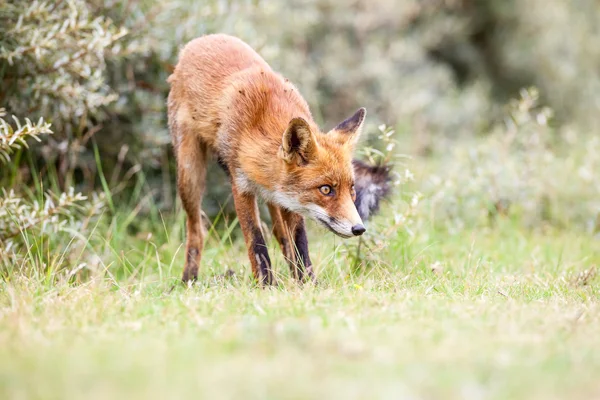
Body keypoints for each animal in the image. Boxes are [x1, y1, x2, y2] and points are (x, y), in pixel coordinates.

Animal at [165, 33, 390, 284]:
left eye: (351, 188)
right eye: (325, 189)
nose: (359, 229)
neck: (262, 121)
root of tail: (200, 40)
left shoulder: (291, 200)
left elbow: (299, 242)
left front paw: (308, 283)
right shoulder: (241, 187)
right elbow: (256, 242)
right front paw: (265, 284)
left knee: (279, 233)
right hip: (189, 176)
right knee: (197, 230)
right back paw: (188, 280)